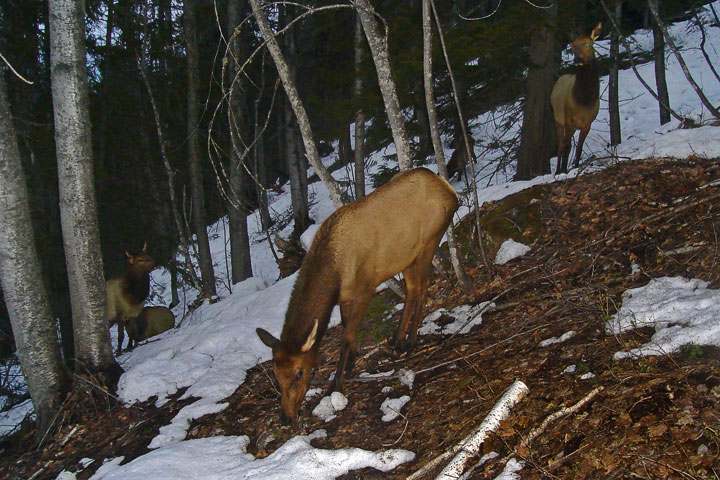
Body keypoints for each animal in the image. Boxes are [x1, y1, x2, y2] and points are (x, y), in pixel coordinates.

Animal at [256, 168, 458, 424]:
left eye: (299, 372)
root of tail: (450, 190)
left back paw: (410, 341)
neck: (335, 275)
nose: (286, 417)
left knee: (423, 287)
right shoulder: (345, 296)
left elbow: (346, 336)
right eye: (276, 375)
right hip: (406, 256)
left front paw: (336, 382)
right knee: (412, 289)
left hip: (428, 242)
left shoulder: (364, 288)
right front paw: (351, 361)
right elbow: (345, 327)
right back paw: (396, 339)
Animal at [552, 22, 600, 175]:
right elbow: (567, 147)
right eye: (572, 47)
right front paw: (562, 170)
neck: (584, 101)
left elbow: (579, 147)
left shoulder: (587, 123)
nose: (578, 60)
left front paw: (576, 166)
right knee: (561, 145)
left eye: (588, 45)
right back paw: (558, 169)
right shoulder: (568, 120)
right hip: (558, 120)